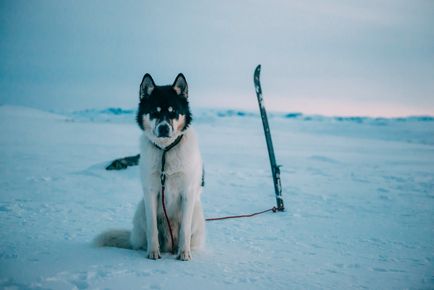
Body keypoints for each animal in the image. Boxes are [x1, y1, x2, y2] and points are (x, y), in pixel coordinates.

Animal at [95, 72, 203, 260]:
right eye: (154, 112)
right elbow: (152, 227)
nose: (163, 128)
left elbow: (185, 229)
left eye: (173, 112)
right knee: (140, 240)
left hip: (197, 211)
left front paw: (184, 253)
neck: (165, 150)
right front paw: (153, 252)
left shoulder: (188, 192)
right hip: (140, 210)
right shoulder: (151, 192)